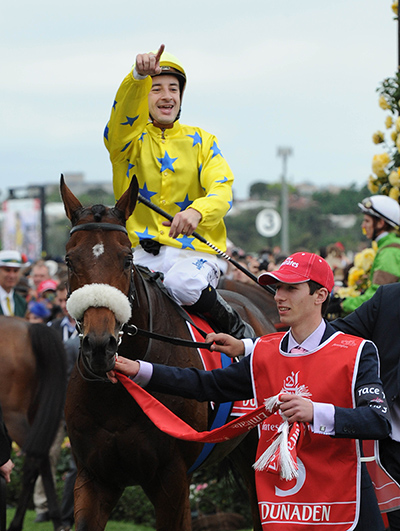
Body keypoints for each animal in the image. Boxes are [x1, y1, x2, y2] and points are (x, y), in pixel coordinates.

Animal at [0, 316, 67, 531]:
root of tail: (31, 328)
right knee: (40, 457)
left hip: (14, 417)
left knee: (34, 457)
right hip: (37, 413)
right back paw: (56, 519)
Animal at [61, 176, 276, 531]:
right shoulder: (94, 477)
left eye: (126, 259)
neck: (115, 396)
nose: (99, 345)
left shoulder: (172, 478)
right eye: (69, 260)